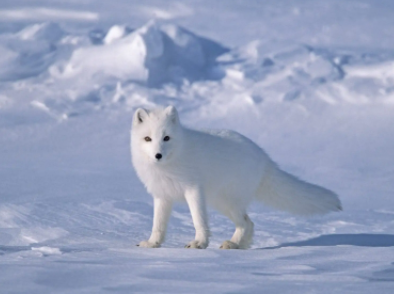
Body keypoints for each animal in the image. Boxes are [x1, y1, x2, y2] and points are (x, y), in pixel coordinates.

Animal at [132, 105, 342, 248]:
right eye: (148, 139)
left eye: (166, 138)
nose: (158, 155)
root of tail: (264, 157)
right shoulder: (162, 195)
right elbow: (158, 224)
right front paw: (152, 243)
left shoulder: (193, 190)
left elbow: (198, 220)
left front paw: (199, 243)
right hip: (221, 202)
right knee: (249, 223)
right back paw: (238, 245)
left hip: (226, 201)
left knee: (247, 222)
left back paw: (233, 244)